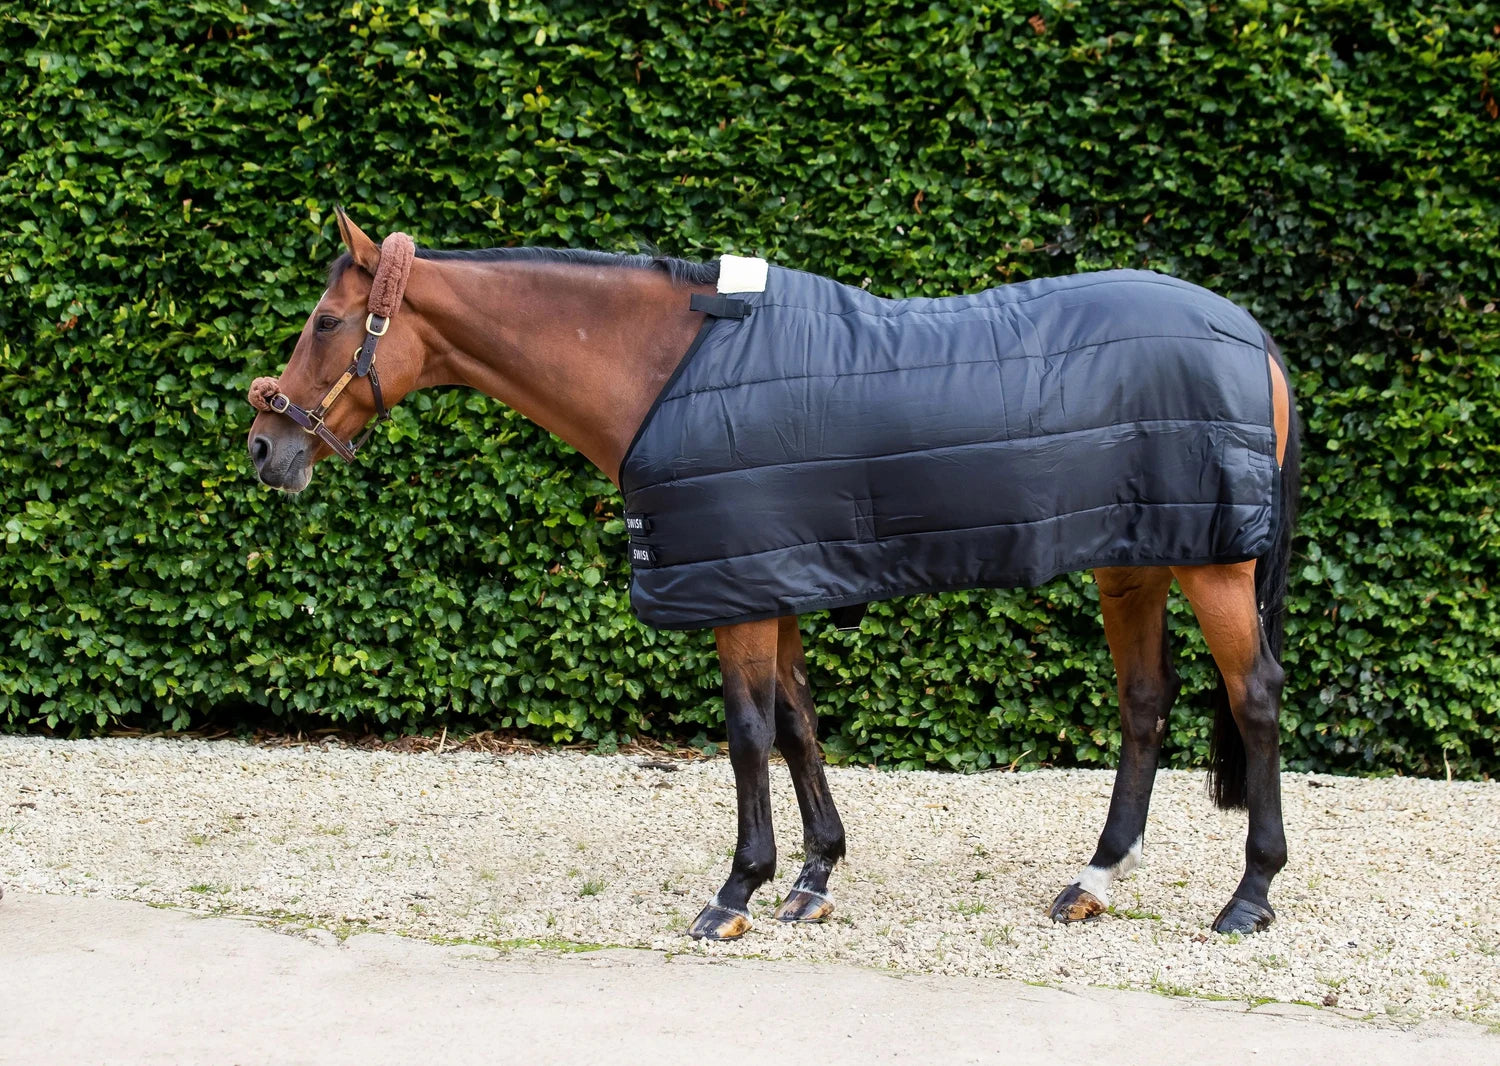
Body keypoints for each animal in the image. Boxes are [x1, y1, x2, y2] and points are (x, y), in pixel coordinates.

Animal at [246, 210, 1299, 939]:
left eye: (326, 320)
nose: (263, 445)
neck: (664, 371)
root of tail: (1254, 337)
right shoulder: (770, 577)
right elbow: (797, 725)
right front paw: (813, 876)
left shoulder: (738, 594)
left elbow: (749, 734)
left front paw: (737, 890)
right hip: (1136, 561)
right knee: (1144, 703)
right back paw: (1094, 880)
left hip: (1214, 563)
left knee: (1253, 696)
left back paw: (1248, 897)